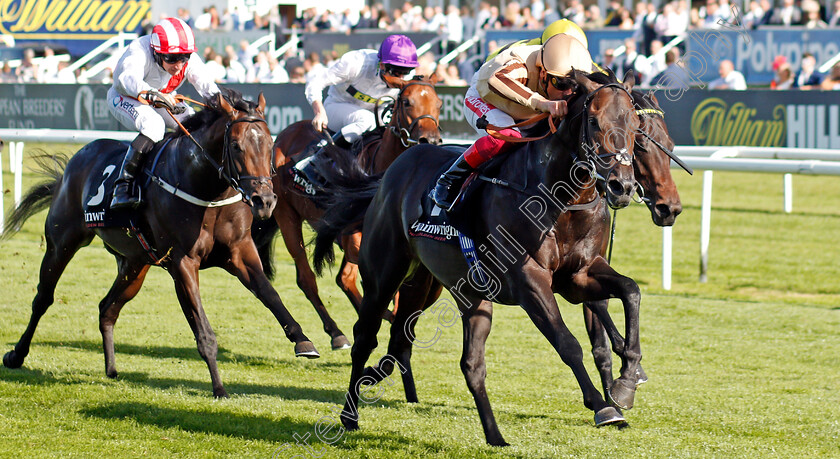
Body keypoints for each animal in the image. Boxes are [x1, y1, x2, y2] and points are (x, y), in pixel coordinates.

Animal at [2, 88, 318, 398]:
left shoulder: (240, 251)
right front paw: (219, 388)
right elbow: (203, 330)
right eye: (237, 145)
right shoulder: (183, 262)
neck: (206, 189)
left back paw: (111, 368)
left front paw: (304, 341)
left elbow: (270, 295)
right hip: (63, 241)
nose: (264, 200)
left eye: (269, 145)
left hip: (135, 265)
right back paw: (16, 355)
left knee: (107, 308)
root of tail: (74, 162)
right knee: (43, 298)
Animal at [253, 75, 442, 350]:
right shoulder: (352, 238)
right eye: (406, 101)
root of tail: (285, 134)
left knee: (344, 279)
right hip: (287, 216)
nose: (431, 140)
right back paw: (336, 333)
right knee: (307, 279)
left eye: (438, 103)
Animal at [312, 71, 640, 446]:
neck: (562, 198)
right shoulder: (529, 280)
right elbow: (567, 343)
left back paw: (494, 435)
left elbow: (631, 291)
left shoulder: (579, 276)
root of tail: (393, 170)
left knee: (441, 353)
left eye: (635, 123)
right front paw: (603, 407)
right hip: (384, 275)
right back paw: (349, 414)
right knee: (366, 337)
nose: (622, 186)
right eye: (594, 122)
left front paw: (627, 382)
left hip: (439, 289)